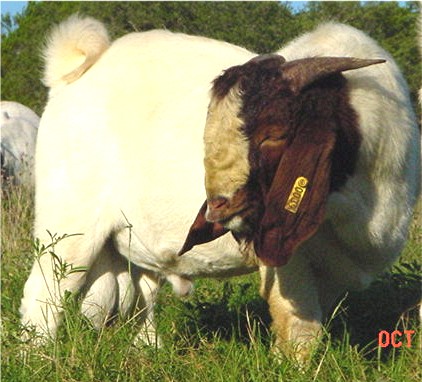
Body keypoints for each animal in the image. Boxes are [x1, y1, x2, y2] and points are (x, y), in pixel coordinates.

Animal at [21, 15, 420, 362]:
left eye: (275, 134)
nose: (218, 207)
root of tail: (74, 72)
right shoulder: (285, 258)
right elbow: (299, 327)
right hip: (68, 225)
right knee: (45, 293)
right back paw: (37, 358)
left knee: (128, 297)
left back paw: (145, 350)